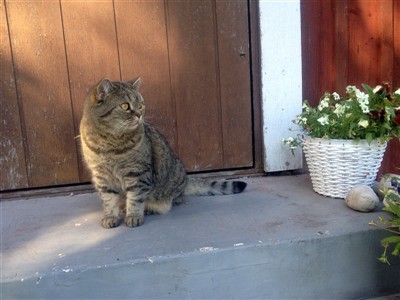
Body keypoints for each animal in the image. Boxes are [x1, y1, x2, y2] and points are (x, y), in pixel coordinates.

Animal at [79, 77, 247, 227]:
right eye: (125, 106)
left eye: (140, 104)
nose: (139, 114)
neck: (109, 143)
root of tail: (185, 181)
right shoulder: (101, 176)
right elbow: (109, 200)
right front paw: (111, 217)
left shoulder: (138, 173)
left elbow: (135, 198)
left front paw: (133, 216)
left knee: (174, 200)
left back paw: (149, 208)